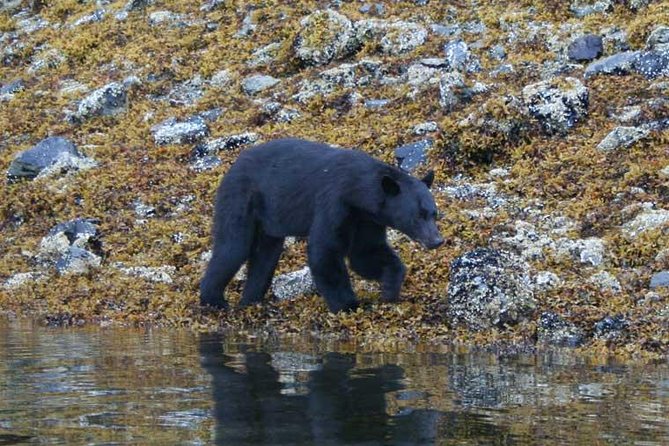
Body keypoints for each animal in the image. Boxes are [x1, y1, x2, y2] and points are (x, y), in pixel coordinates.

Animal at [200, 138, 444, 313]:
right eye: (418, 216)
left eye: (434, 214)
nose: (437, 240)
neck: (358, 191)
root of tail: (233, 166)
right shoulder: (334, 203)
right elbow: (325, 252)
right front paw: (348, 306)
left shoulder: (368, 219)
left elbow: (366, 253)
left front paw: (390, 288)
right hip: (240, 199)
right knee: (233, 247)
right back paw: (214, 301)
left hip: (268, 219)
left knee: (265, 255)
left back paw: (252, 300)